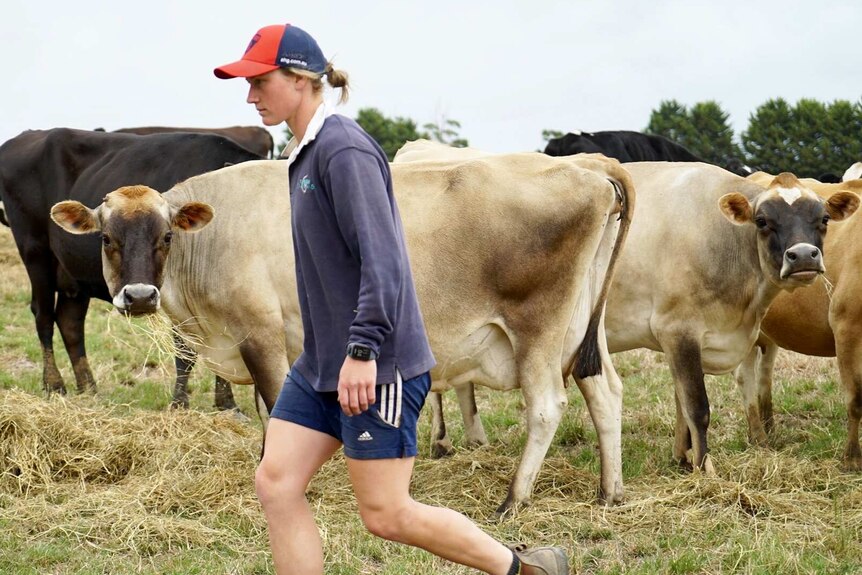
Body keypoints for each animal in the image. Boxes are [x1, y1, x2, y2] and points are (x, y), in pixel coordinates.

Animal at [0, 127, 264, 404]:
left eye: (167, 236)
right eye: (105, 238)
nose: (139, 297)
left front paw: (225, 403)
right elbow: (185, 352)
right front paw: (181, 403)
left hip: (72, 275)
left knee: (70, 322)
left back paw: (89, 387)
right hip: (36, 253)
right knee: (43, 316)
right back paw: (54, 384)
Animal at [54, 151, 636, 516]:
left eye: (166, 236)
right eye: (106, 238)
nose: (139, 297)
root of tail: (587, 166)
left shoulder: (259, 334)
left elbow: (272, 408)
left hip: (538, 329)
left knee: (547, 406)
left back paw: (514, 499)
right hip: (583, 332)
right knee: (606, 393)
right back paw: (610, 491)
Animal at [736, 173, 862, 470]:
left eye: (825, 218)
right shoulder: (846, 327)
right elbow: (855, 400)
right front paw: (852, 459)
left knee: (765, 374)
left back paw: (769, 427)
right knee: (745, 377)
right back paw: (758, 437)